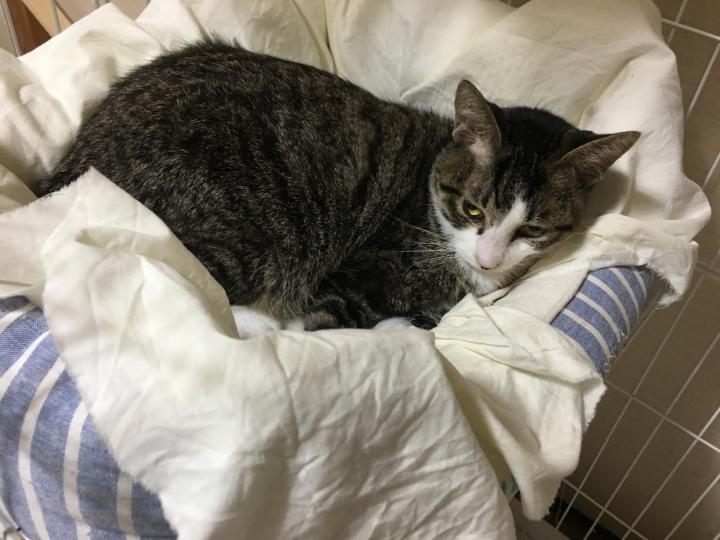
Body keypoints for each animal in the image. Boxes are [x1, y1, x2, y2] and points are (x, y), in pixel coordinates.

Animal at [35, 41, 639, 334]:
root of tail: (78, 158)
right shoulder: (356, 277)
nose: (489, 259)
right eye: (473, 210)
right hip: (246, 231)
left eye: (532, 227)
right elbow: (324, 329)